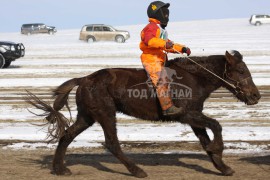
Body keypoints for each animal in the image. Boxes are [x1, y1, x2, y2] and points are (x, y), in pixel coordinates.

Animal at [26, 50, 260, 177]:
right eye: (241, 71)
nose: (256, 95)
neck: (193, 78)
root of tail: (83, 79)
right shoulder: (185, 115)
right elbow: (216, 126)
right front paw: (218, 150)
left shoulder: (194, 117)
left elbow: (205, 140)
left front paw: (223, 167)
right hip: (106, 114)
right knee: (112, 143)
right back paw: (137, 170)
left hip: (87, 117)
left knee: (67, 136)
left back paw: (59, 169)